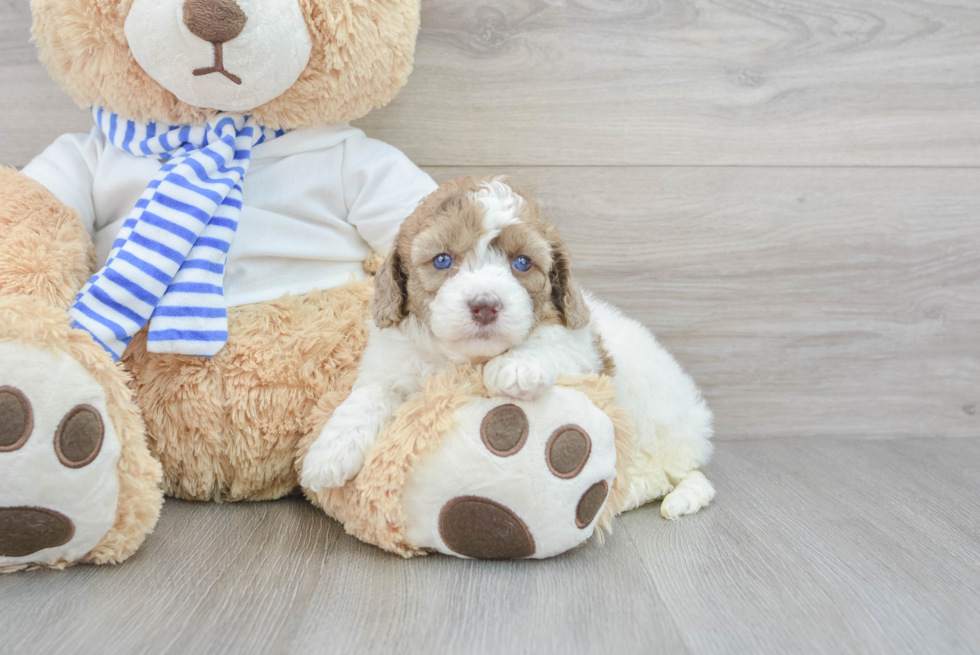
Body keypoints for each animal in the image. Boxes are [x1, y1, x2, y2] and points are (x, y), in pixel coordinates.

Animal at [302, 177, 716, 520]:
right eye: (442, 260)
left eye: (522, 262)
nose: (485, 305)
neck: (462, 359)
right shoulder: (393, 363)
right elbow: (369, 394)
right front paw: (328, 452)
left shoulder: (580, 349)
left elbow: (549, 341)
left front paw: (517, 366)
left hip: (653, 423)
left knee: (664, 475)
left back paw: (631, 495)